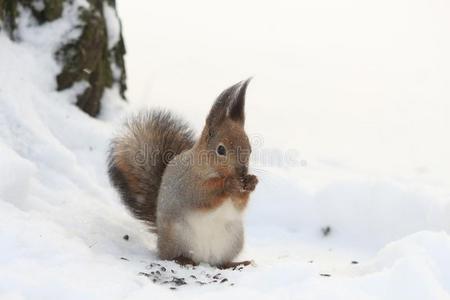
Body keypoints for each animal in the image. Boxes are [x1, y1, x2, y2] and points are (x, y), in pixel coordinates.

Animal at [107, 78, 258, 268]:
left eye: (250, 148)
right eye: (221, 150)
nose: (242, 171)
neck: (210, 169)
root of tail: (204, 259)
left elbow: (239, 205)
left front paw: (251, 182)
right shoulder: (187, 183)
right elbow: (203, 196)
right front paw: (229, 184)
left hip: (233, 239)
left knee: (220, 262)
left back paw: (236, 263)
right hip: (178, 235)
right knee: (171, 255)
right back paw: (183, 260)